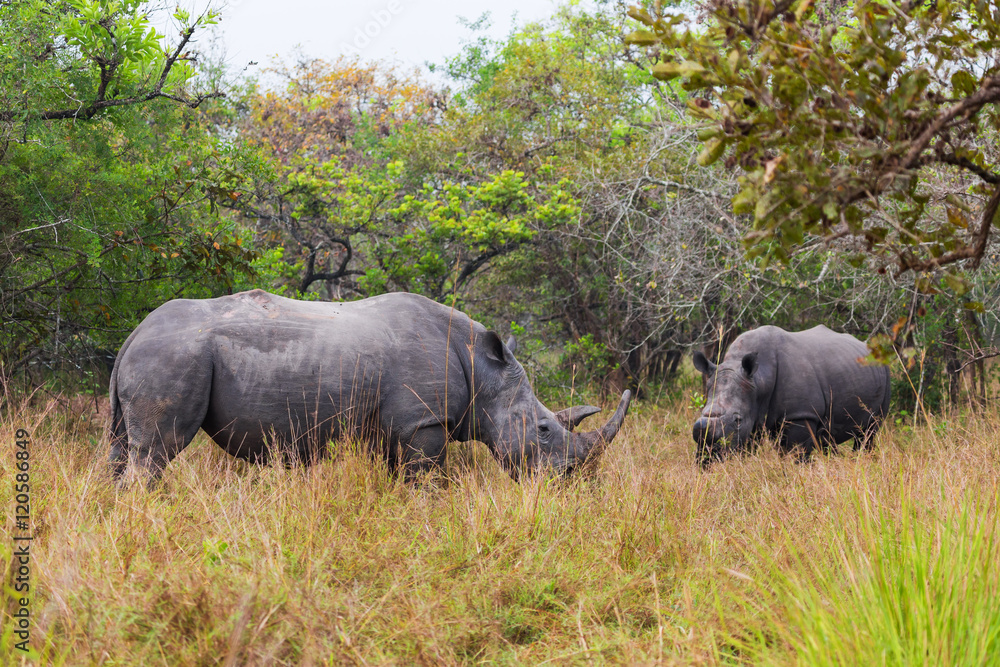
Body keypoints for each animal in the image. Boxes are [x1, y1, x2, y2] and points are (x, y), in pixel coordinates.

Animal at [108, 289, 631, 483]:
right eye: (543, 429)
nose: (569, 479)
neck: (486, 370)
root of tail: (133, 333)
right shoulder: (424, 421)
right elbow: (427, 479)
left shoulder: (398, 425)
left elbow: (399, 476)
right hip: (174, 356)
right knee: (157, 451)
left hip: (156, 355)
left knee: (121, 448)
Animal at [691, 325, 890, 466]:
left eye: (737, 420)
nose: (706, 459)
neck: (759, 379)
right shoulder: (755, 413)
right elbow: (749, 447)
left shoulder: (801, 414)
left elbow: (795, 453)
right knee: (829, 436)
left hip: (885, 374)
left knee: (869, 431)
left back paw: (863, 462)